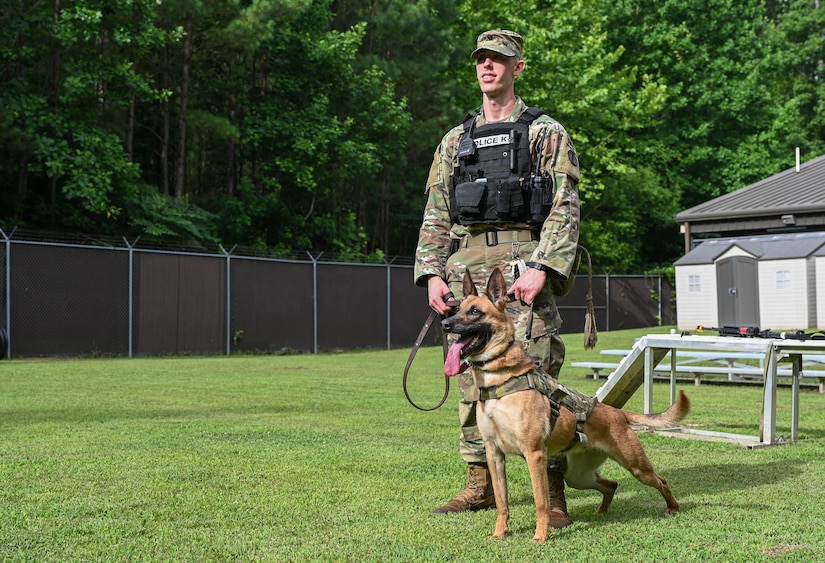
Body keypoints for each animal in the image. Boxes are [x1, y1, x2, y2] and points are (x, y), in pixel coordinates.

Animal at [440, 268, 684, 540]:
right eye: (457, 308)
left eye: (475, 311)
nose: (445, 324)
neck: (500, 379)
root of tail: (618, 414)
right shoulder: (494, 454)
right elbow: (502, 502)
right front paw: (500, 534)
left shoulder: (534, 454)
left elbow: (541, 502)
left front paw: (540, 537)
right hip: (578, 476)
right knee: (611, 484)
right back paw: (602, 512)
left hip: (636, 466)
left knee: (660, 481)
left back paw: (673, 507)